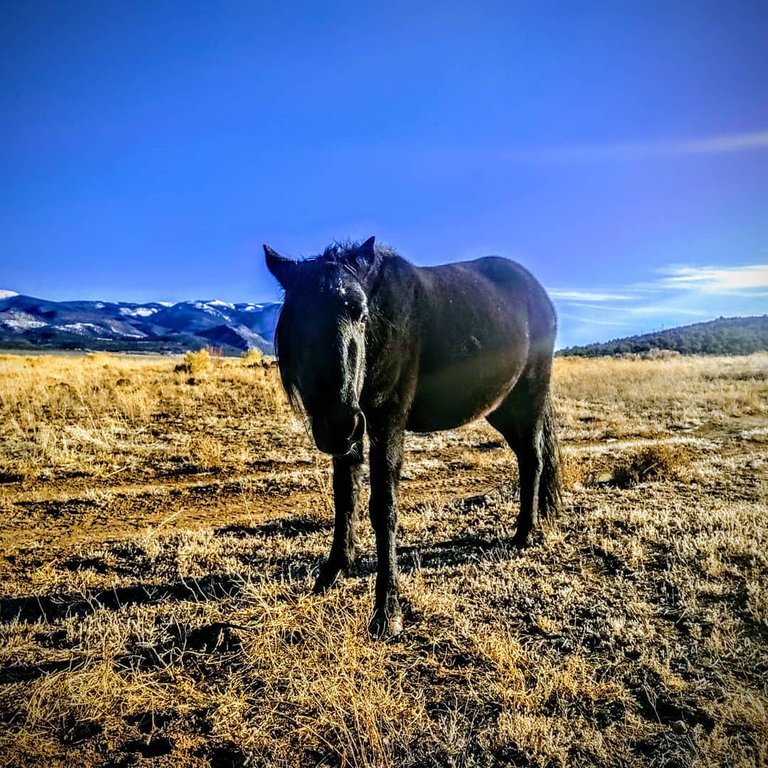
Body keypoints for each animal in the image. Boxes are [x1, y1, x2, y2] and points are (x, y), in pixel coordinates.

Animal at [268, 238, 560, 636]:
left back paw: (525, 534)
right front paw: (331, 574)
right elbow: (345, 498)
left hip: (529, 397)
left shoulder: (387, 422)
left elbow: (383, 507)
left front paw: (386, 610)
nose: (338, 423)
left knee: (533, 459)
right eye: (297, 319)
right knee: (526, 458)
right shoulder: (353, 436)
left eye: (361, 314)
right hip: (501, 408)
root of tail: (539, 293)